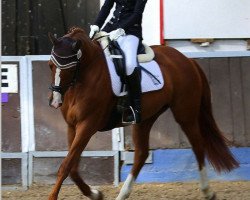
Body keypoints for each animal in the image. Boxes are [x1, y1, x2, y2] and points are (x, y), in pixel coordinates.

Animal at [46, 27, 238, 200]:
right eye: (50, 65)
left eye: (70, 69)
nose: (55, 101)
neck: (85, 77)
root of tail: (187, 60)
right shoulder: (72, 126)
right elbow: (72, 167)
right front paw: (95, 193)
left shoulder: (87, 126)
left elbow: (66, 166)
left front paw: (55, 196)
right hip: (146, 118)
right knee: (141, 153)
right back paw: (122, 195)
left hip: (185, 113)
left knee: (197, 145)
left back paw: (207, 191)